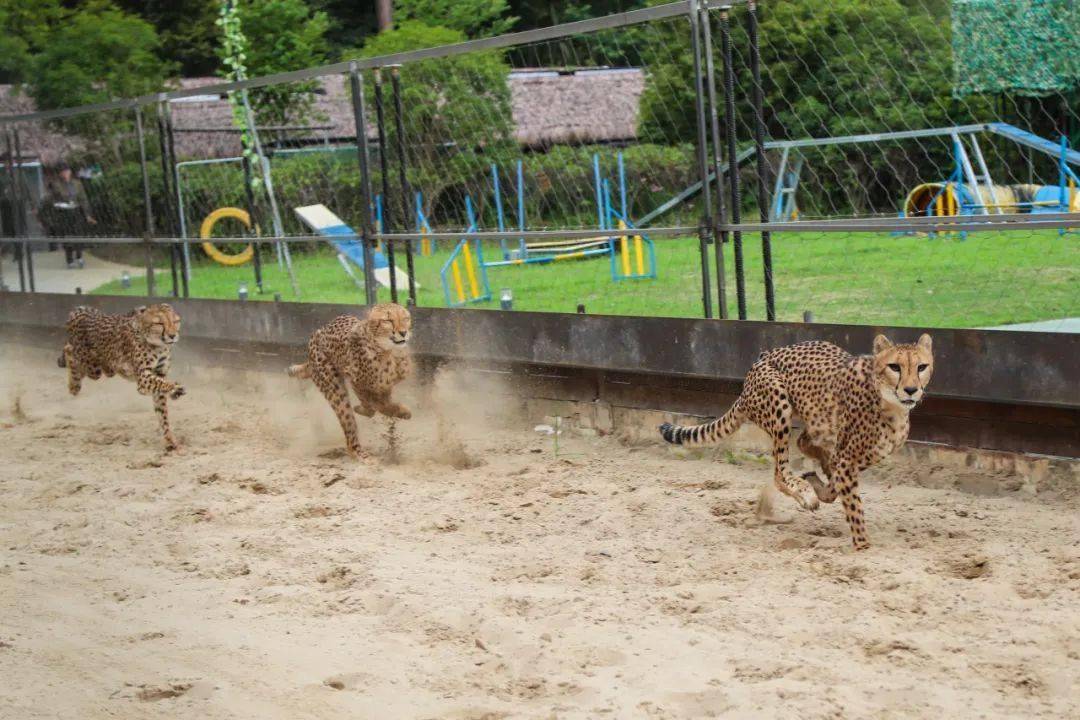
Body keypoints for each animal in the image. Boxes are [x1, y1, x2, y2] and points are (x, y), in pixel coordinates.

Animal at [57, 304, 185, 451]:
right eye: (159, 323)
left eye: (175, 321)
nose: (172, 335)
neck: (157, 344)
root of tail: (83, 312)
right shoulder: (142, 379)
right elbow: (161, 383)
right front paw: (175, 388)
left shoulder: (159, 375)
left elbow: (162, 412)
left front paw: (170, 440)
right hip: (92, 367)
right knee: (69, 350)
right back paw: (74, 386)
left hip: (103, 368)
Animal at [287, 302, 412, 462]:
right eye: (388, 320)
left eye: (405, 318)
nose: (403, 332)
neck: (387, 350)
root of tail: (317, 334)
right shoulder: (357, 382)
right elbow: (375, 405)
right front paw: (397, 411)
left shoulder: (385, 386)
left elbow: (382, 403)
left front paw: (397, 413)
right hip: (335, 391)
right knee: (348, 422)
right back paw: (360, 453)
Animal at [660, 334, 933, 548]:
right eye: (894, 366)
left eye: (921, 367)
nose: (911, 390)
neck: (890, 404)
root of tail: (758, 362)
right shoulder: (848, 459)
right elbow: (854, 508)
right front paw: (863, 547)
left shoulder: (859, 456)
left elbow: (835, 486)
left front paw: (820, 482)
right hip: (779, 404)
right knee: (780, 473)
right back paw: (805, 492)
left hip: (813, 417)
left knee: (804, 443)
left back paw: (816, 475)